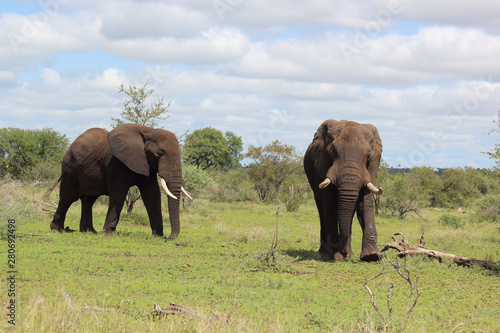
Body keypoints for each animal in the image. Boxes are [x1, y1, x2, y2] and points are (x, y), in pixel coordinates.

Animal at [49, 123, 191, 237]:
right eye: (160, 153)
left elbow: (152, 194)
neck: (148, 132)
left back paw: (89, 231)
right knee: (68, 197)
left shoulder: (147, 164)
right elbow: (119, 193)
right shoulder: (117, 163)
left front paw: (158, 236)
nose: (169, 237)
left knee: (88, 200)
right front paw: (110, 234)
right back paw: (57, 229)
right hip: (69, 168)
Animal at [304, 119, 382, 262]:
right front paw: (334, 256)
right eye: (332, 152)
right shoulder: (321, 166)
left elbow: (365, 203)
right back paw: (324, 253)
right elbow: (329, 205)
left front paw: (371, 256)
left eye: (368, 155)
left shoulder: (371, 169)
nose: (343, 251)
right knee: (322, 210)